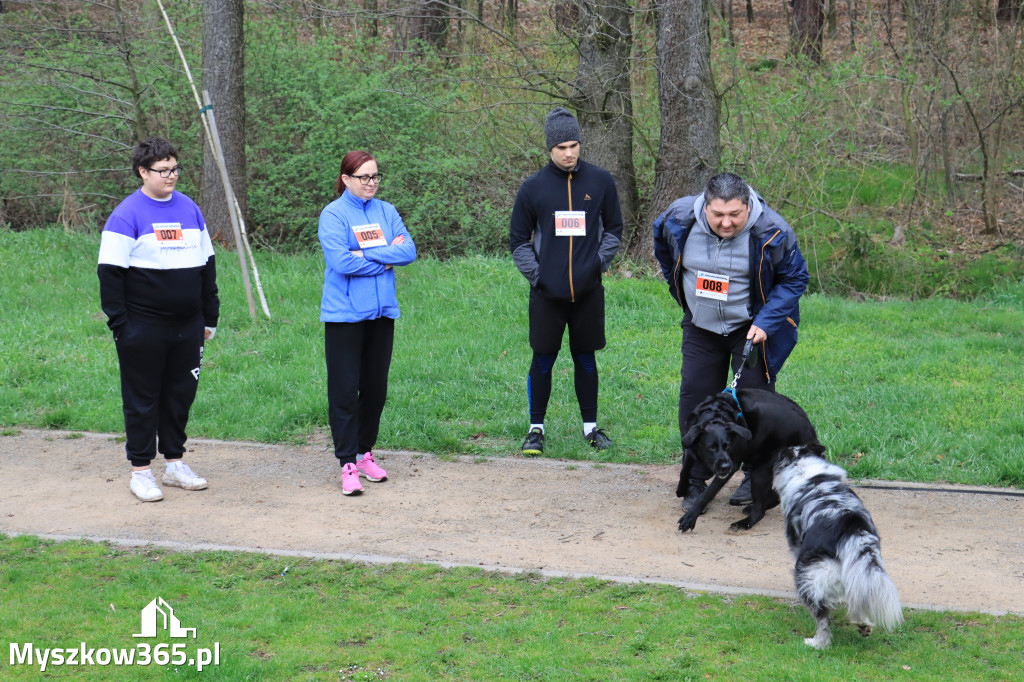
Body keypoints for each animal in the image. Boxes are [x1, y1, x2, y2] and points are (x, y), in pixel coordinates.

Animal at [675, 387, 819, 532]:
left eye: (728, 446)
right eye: (711, 447)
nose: (726, 466)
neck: (714, 414)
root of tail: (809, 431)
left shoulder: (732, 464)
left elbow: (707, 493)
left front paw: (690, 517)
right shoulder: (689, 443)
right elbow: (685, 467)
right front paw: (681, 488)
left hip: (760, 471)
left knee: (759, 512)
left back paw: (743, 523)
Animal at [770, 444, 901, 647]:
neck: (809, 475)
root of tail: (848, 525)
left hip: (807, 576)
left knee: (822, 618)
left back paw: (816, 643)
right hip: (862, 567)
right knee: (857, 596)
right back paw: (863, 625)